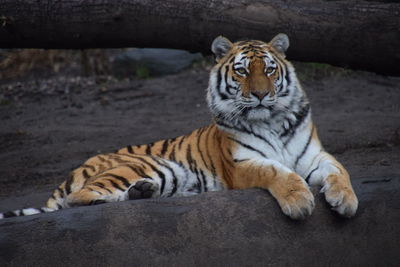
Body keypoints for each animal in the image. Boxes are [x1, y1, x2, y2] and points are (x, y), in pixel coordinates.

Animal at [0, 33, 360, 221]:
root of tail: (77, 168)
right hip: (146, 164)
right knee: (77, 198)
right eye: (243, 70)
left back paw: (144, 193)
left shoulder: (316, 156)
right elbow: (277, 172)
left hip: (168, 174)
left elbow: (340, 170)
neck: (270, 119)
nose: (260, 94)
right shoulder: (243, 164)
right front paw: (299, 201)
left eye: (270, 70)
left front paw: (345, 201)